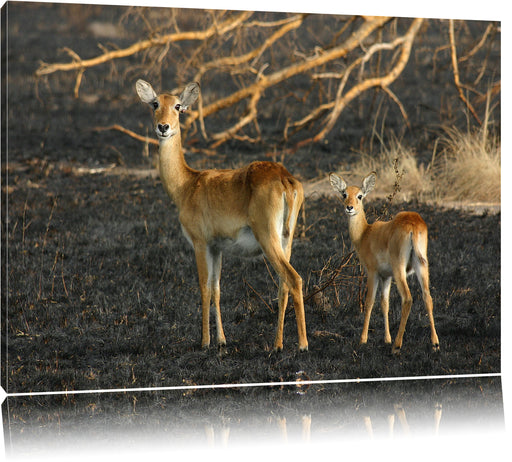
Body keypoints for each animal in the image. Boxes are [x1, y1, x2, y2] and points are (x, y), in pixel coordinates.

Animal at [136, 79, 308, 350]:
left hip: (268, 238)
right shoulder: (217, 247)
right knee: (284, 284)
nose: (163, 127)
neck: (187, 185)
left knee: (294, 278)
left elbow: (204, 288)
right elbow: (217, 289)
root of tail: (284, 178)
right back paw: (277, 344)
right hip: (285, 240)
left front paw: (205, 342)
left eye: (177, 106)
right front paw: (222, 340)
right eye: (155, 103)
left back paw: (302, 344)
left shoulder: (200, 243)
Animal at [332, 171, 440, 356]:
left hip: (400, 269)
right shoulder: (386, 276)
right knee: (427, 297)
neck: (365, 234)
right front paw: (386, 338)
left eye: (360, 196)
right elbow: (384, 303)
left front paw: (363, 339)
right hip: (421, 265)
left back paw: (397, 346)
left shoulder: (373, 272)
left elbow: (369, 302)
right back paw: (435, 344)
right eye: (344, 194)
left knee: (407, 298)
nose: (349, 207)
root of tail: (413, 224)